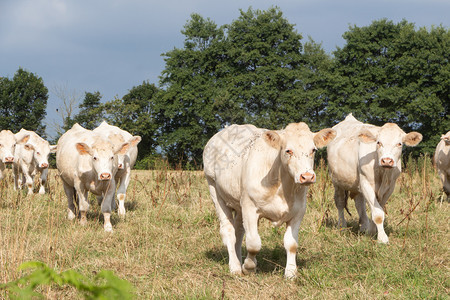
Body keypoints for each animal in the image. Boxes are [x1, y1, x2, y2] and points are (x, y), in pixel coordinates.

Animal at [202, 122, 336, 278]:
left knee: (239, 231)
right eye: (288, 150)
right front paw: (249, 267)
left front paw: (291, 272)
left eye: (313, 149)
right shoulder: (250, 208)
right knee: (228, 231)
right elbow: (253, 243)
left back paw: (238, 259)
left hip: (239, 203)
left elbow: (291, 244)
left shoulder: (298, 212)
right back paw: (235, 266)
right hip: (214, 189)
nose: (307, 176)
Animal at [326, 113, 422, 243]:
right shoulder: (366, 183)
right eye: (378, 142)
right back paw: (342, 225)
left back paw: (364, 226)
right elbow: (377, 213)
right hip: (337, 181)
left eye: (399, 144)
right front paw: (382, 238)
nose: (387, 160)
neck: (383, 173)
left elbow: (377, 209)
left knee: (359, 203)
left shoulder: (389, 188)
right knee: (340, 202)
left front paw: (370, 231)